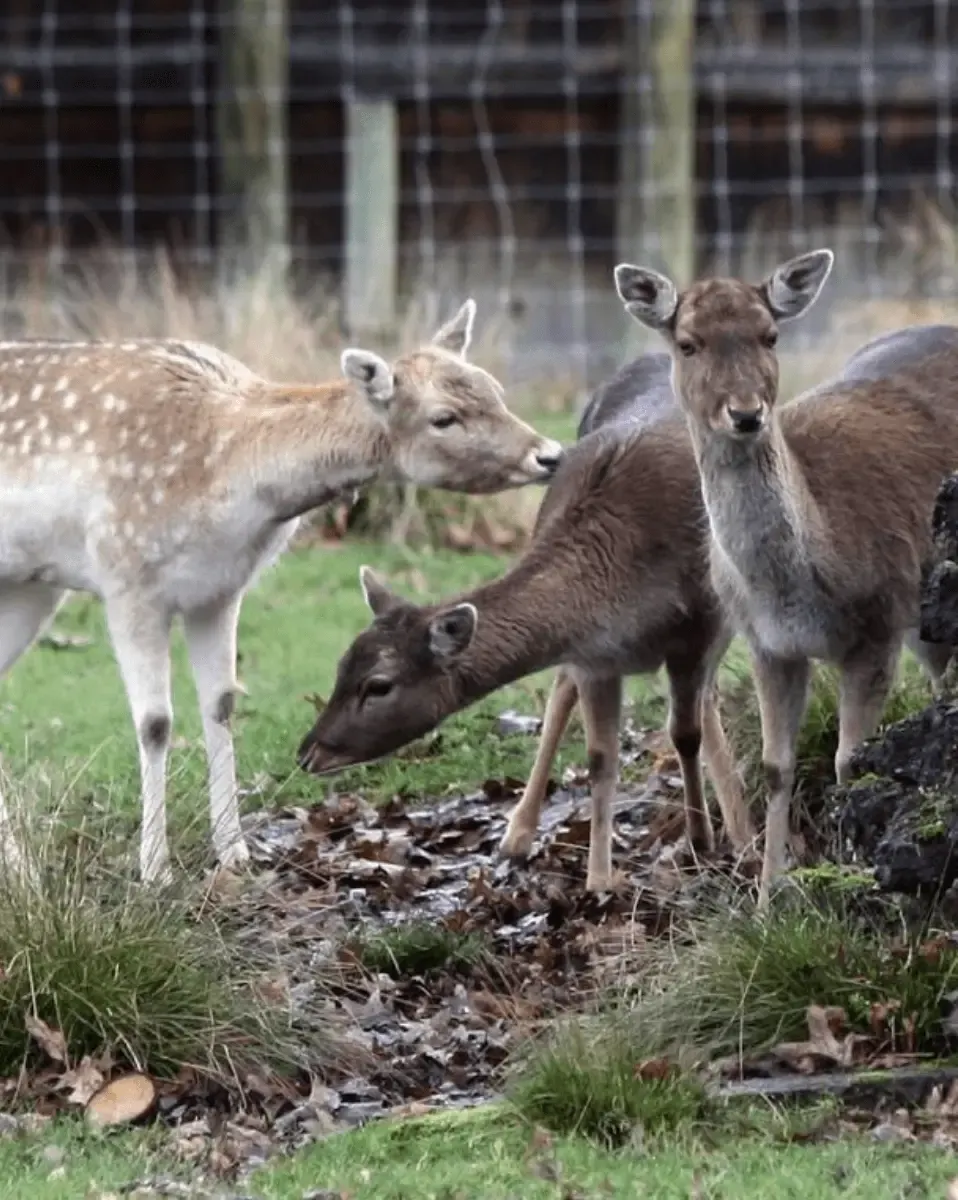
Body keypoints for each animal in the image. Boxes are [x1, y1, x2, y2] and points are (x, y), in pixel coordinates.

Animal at [0, 300, 564, 885]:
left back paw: (17, 866)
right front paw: (155, 872)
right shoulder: (128, 575)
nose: (549, 454)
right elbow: (156, 724)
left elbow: (222, 705)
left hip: (28, 588)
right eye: (444, 418)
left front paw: (235, 852)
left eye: (495, 389)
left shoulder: (219, 588)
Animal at [296, 351, 757, 892]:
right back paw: (517, 834)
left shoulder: (699, 626)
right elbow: (600, 758)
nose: (308, 752)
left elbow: (685, 733)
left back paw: (743, 832)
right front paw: (599, 881)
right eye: (341, 667)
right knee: (564, 692)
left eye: (378, 685)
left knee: (706, 700)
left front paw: (702, 841)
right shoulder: (596, 655)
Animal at [613, 249, 958, 906]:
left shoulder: (878, 623)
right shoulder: (767, 644)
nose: (747, 414)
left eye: (769, 335)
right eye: (688, 344)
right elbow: (777, 767)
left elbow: (851, 760)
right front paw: (771, 892)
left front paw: (851, 878)